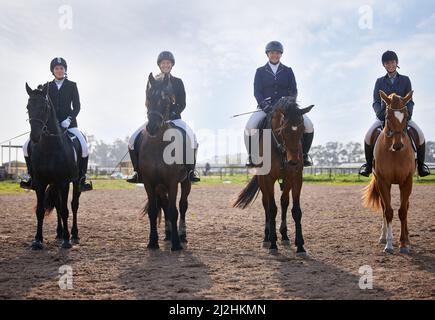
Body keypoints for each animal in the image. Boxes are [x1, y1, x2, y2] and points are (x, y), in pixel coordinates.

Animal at [25, 83, 82, 250]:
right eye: (28, 107)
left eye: (44, 107)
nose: (35, 136)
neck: (49, 147)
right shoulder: (40, 182)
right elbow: (40, 210)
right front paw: (37, 240)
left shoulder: (64, 182)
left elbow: (65, 210)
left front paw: (67, 241)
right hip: (54, 184)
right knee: (57, 204)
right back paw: (59, 232)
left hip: (76, 181)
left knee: (74, 205)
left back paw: (73, 234)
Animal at [138, 74, 192, 251]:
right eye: (148, 98)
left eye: (166, 101)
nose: (152, 127)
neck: (158, 145)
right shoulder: (149, 182)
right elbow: (153, 211)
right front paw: (152, 242)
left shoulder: (173, 181)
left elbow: (174, 210)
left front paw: (176, 244)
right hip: (160, 187)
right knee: (164, 204)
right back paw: (168, 234)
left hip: (186, 181)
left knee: (182, 205)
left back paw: (181, 235)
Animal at [233, 96, 316, 256]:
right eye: (283, 131)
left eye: (302, 130)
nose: (293, 162)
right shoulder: (268, 178)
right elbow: (271, 209)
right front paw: (272, 244)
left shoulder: (296, 178)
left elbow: (296, 211)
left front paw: (300, 246)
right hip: (262, 180)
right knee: (266, 204)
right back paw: (267, 238)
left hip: (287, 180)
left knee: (284, 202)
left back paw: (284, 236)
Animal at [362, 90, 418, 255]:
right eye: (387, 117)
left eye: (406, 116)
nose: (398, 145)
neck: (395, 153)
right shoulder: (383, 182)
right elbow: (388, 211)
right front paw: (389, 244)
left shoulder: (406, 181)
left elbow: (402, 211)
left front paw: (404, 244)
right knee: (383, 208)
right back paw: (382, 237)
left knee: (406, 206)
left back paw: (407, 239)